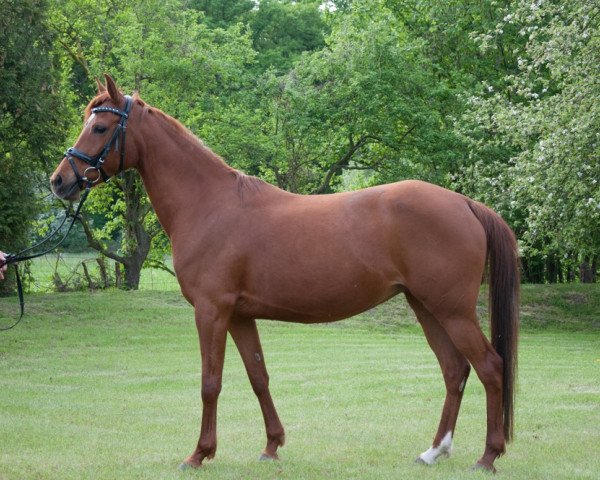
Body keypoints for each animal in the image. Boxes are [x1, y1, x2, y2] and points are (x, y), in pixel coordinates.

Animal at [50, 76, 520, 472]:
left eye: (100, 127)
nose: (59, 181)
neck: (209, 204)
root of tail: (465, 204)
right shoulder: (240, 315)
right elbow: (258, 377)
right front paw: (272, 446)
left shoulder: (211, 311)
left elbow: (210, 382)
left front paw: (199, 454)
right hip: (425, 306)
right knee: (454, 370)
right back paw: (434, 451)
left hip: (453, 310)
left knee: (489, 367)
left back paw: (488, 456)